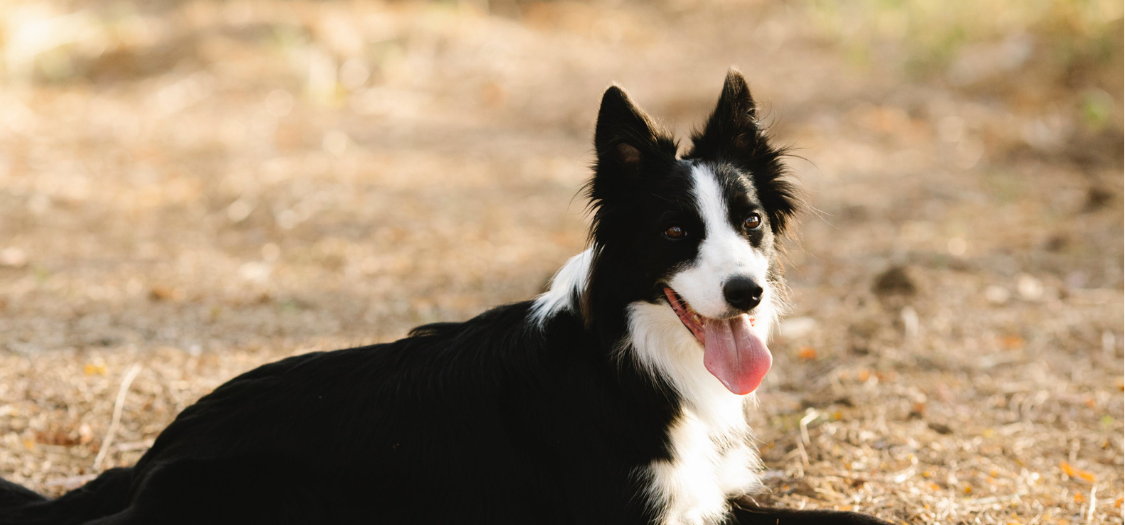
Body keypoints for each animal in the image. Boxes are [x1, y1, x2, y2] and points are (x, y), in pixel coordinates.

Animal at [2, 70, 895, 525]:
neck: (627, 355)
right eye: (675, 232)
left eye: (750, 222)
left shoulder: (703, 499)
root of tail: (154, 452)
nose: (745, 292)